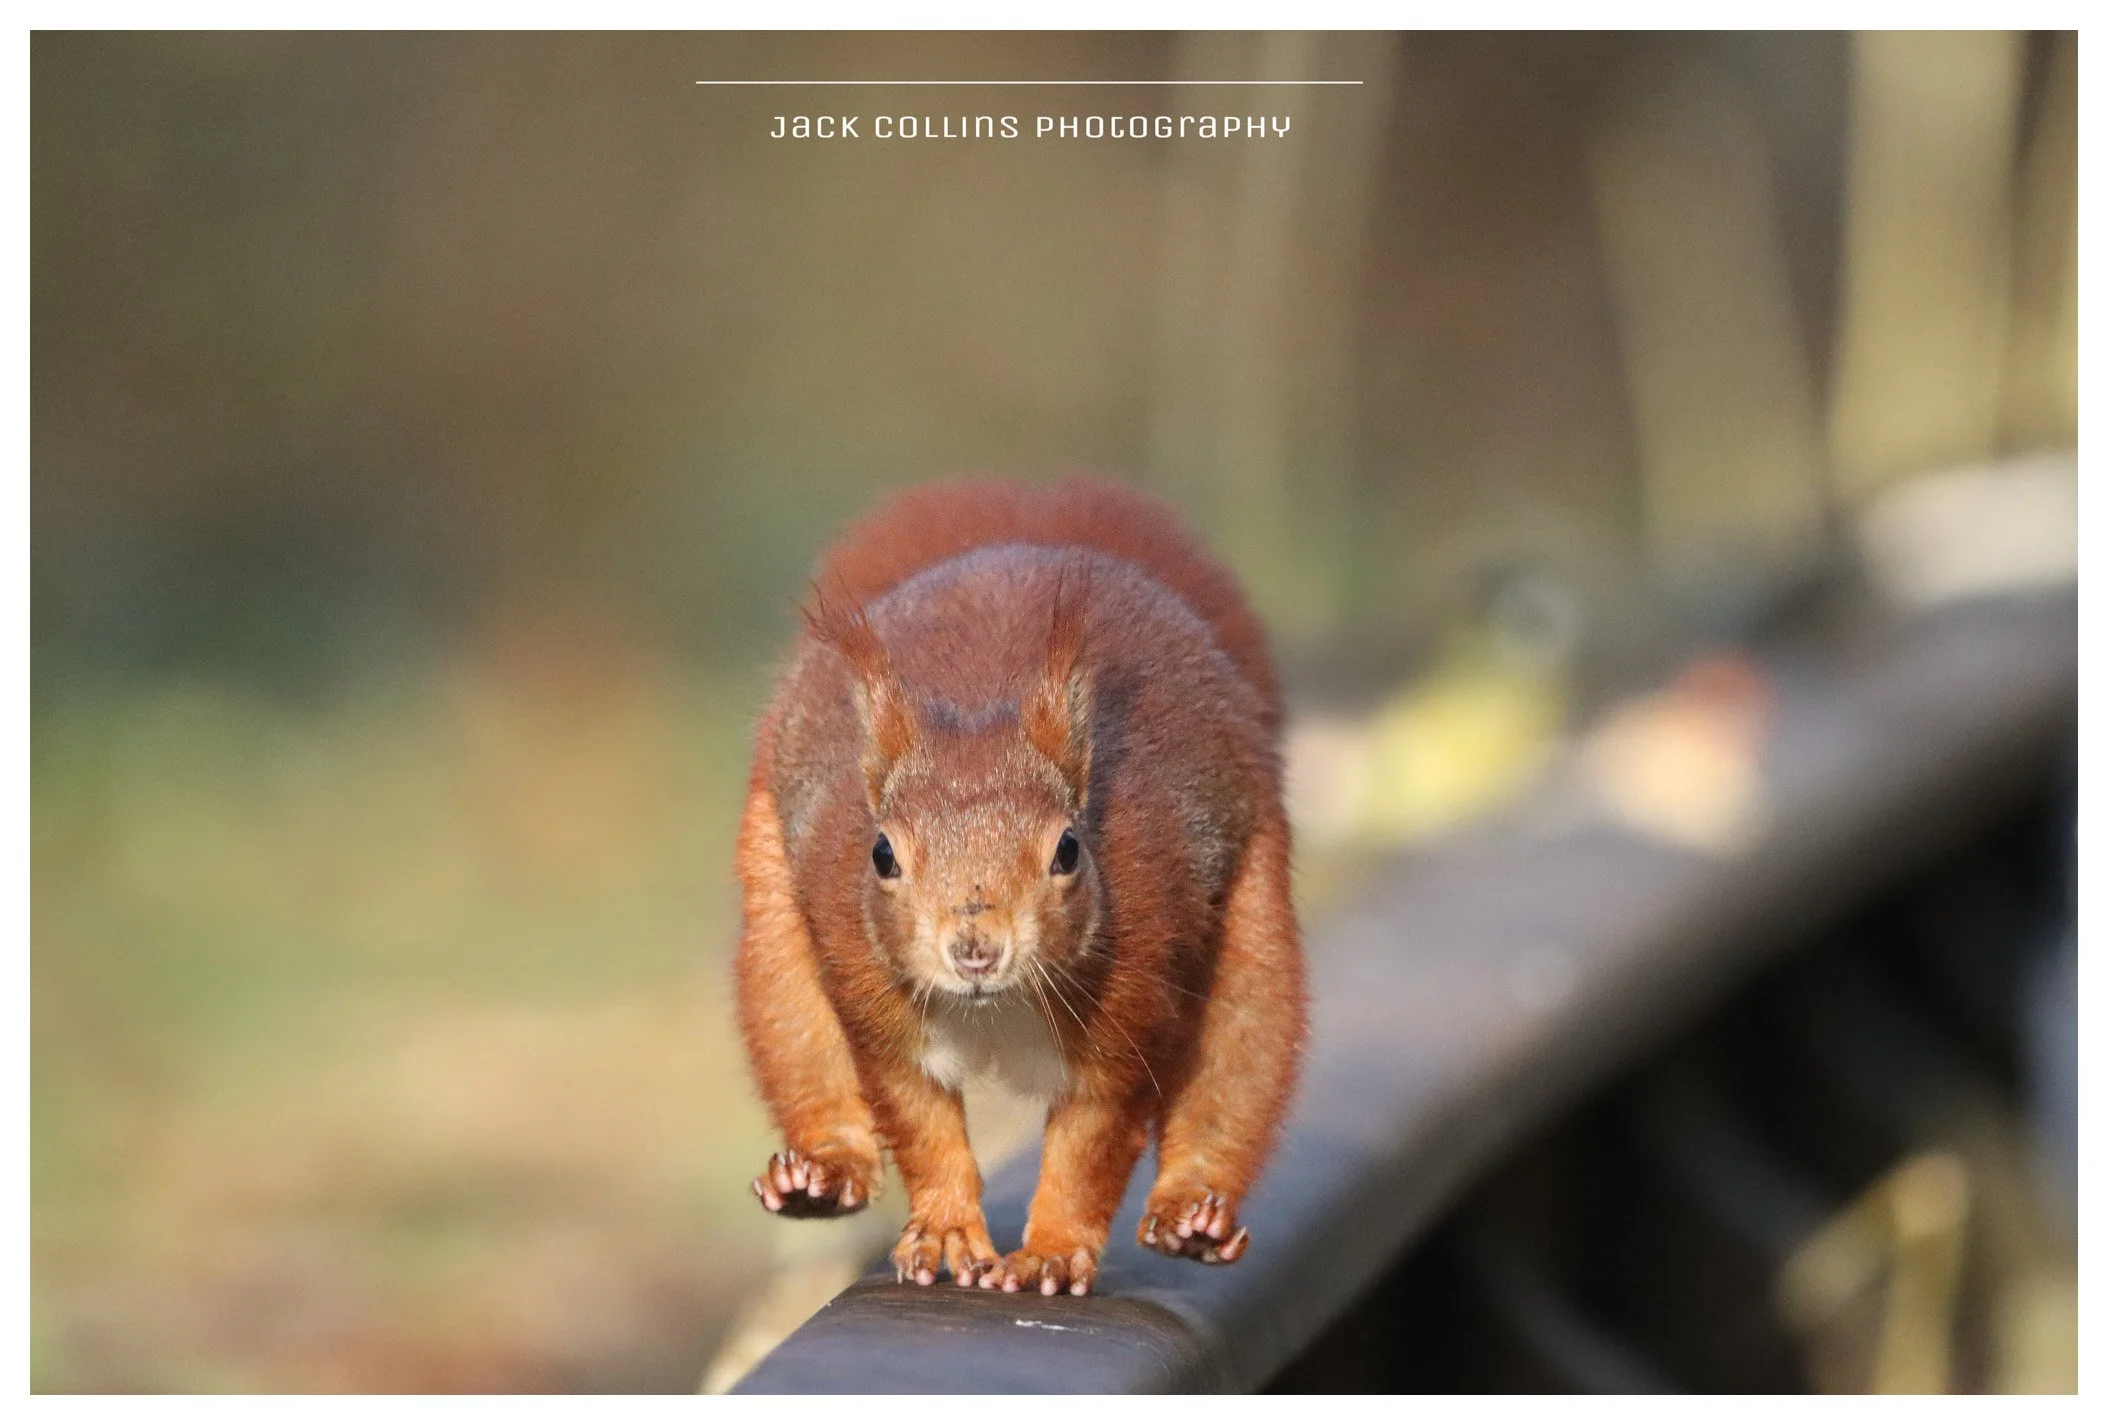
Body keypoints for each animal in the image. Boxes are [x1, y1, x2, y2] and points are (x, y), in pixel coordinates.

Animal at [734, 476, 1307, 1297]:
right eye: (881, 854)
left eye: (1068, 848)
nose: (975, 947)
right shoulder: (871, 995)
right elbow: (919, 1120)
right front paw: (946, 1230)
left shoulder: (1129, 999)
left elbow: (1089, 1144)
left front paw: (1051, 1252)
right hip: (775, 925)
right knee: (801, 1046)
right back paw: (818, 1175)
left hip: (1254, 914)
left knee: (1238, 1062)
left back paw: (1192, 1212)